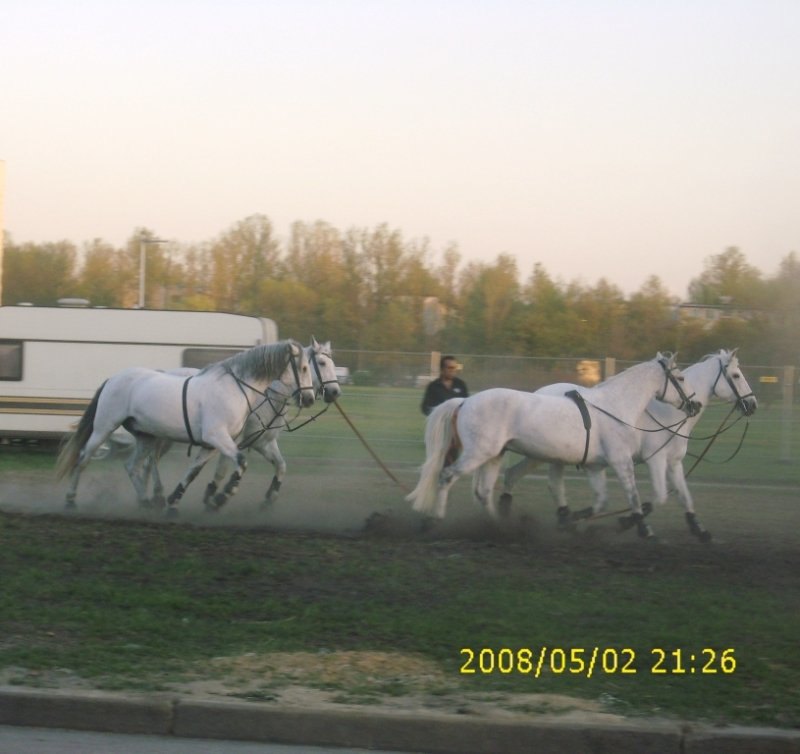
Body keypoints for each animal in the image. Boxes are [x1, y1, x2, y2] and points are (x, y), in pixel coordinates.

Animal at [54, 338, 312, 516]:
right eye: (304, 368)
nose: (309, 398)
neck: (234, 388)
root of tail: (113, 378)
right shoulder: (218, 437)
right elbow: (241, 462)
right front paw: (222, 497)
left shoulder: (211, 445)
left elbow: (193, 472)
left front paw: (174, 503)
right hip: (104, 428)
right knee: (84, 458)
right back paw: (70, 500)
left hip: (145, 436)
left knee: (132, 466)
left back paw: (146, 502)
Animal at [132, 338, 340, 508]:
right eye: (321, 363)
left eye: (333, 363)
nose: (335, 392)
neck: (264, 396)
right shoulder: (232, 440)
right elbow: (222, 470)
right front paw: (215, 496)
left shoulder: (263, 442)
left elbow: (281, 465)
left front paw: (269, 497)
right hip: (165, 435)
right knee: (152, 459)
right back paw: (156, 494)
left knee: (150, 460)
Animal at [406, 352, 700, 536]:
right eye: (681, 378)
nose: (695, 405)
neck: (614, 406)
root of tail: (465, 401)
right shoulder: (620, 461)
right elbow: (633, 495)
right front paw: (644, 529)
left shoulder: (596, 466)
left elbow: (601, 501)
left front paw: (571, 520)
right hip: (478, 454)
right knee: (446, 477)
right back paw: (433, 520)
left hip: (493, 456)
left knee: (483, 492)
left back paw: (497, 527)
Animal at [500, 350, 756, 536]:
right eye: (736, 376)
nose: (752, 405)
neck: (669, 414)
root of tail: (539, 392)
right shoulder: (656, 459)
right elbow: (659, 496)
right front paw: (628, 520)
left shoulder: (674, 463)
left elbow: (684, 495)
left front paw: (698, 529)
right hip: (544, 454)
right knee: (533, 479)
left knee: (517, 476)